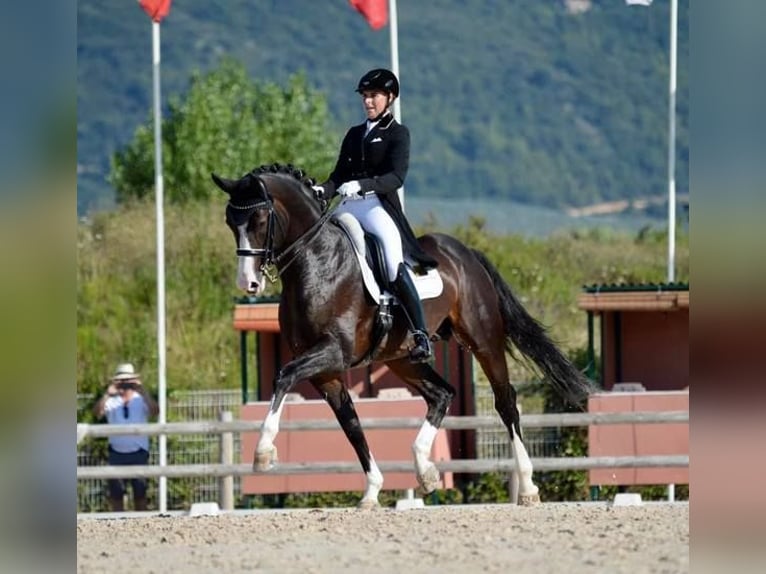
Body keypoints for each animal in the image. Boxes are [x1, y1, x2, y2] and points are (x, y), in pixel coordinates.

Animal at [213, 164, 592, 510]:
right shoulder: (327, 372)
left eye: (260, 220)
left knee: (505, 402)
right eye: (231, 222)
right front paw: (371, 491)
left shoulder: (333, 352)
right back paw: (425, 470)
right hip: (402, 358)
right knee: (442, 394)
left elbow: (283, 375)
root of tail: (465, 252)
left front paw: (263, 453)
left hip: (483, 341)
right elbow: (350, 424)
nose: (248, 283)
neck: (319, 265)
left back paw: (527, 487)